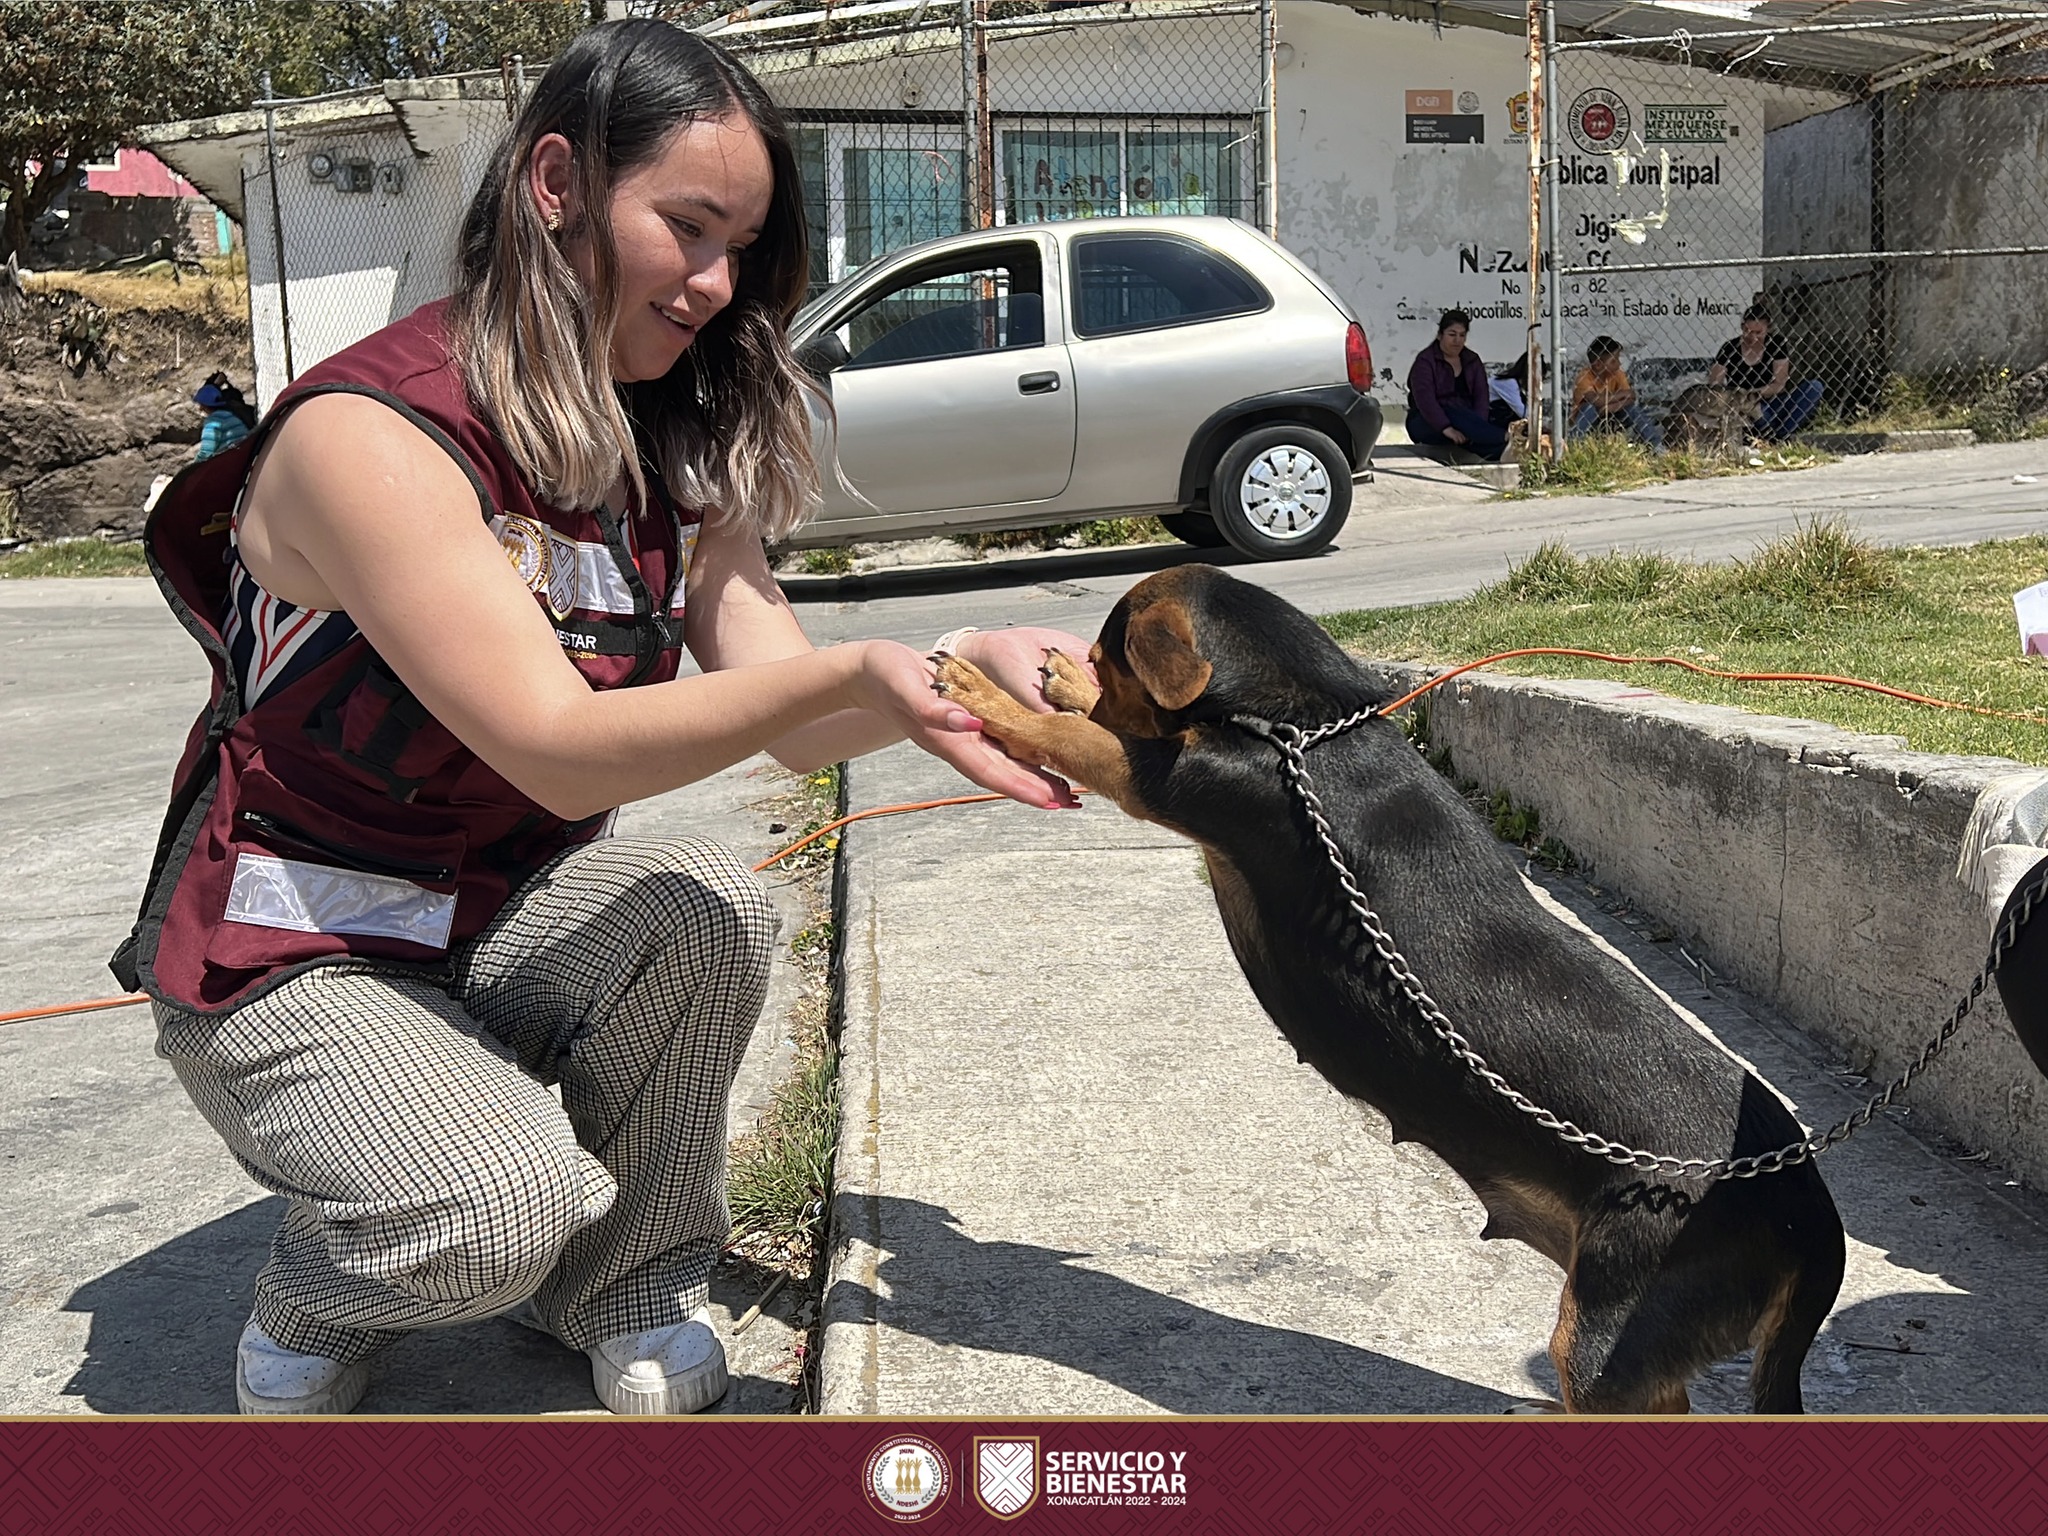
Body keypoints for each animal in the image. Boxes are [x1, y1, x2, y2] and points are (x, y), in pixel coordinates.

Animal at [937, 569, 1851, 1417]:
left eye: (1110, 652)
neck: (1305, 720)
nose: (1073, 661)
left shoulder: (1172, 776)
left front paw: (991, 688)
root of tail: (1810, 1211)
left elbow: (1080, 735)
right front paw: (1057, 680)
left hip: (1608, 1328)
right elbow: (1091, 720)